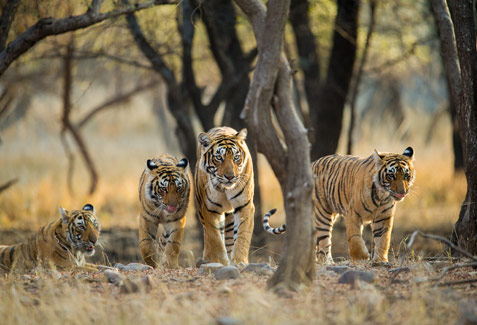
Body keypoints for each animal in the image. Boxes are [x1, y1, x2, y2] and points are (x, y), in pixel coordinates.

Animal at [194, 125, 255, 264]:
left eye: (236, 157)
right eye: (219, 158)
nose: (230, 176)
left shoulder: (245, 205)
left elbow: (242, 236)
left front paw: (239, 261)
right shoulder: (209, 209)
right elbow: (215, 239)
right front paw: (220, 261)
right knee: (208, 236)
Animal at [262, 147, 414, 264]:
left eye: (406, 176)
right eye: (391, 176)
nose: (402, 192)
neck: (382, 195)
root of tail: (311, 164)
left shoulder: (383, 217)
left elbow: (383, 239)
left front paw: (380, 260)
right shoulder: (353, 214)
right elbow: (354, 238)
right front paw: (361, 258)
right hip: (322, 213)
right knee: (324, 241)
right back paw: (327, 262)